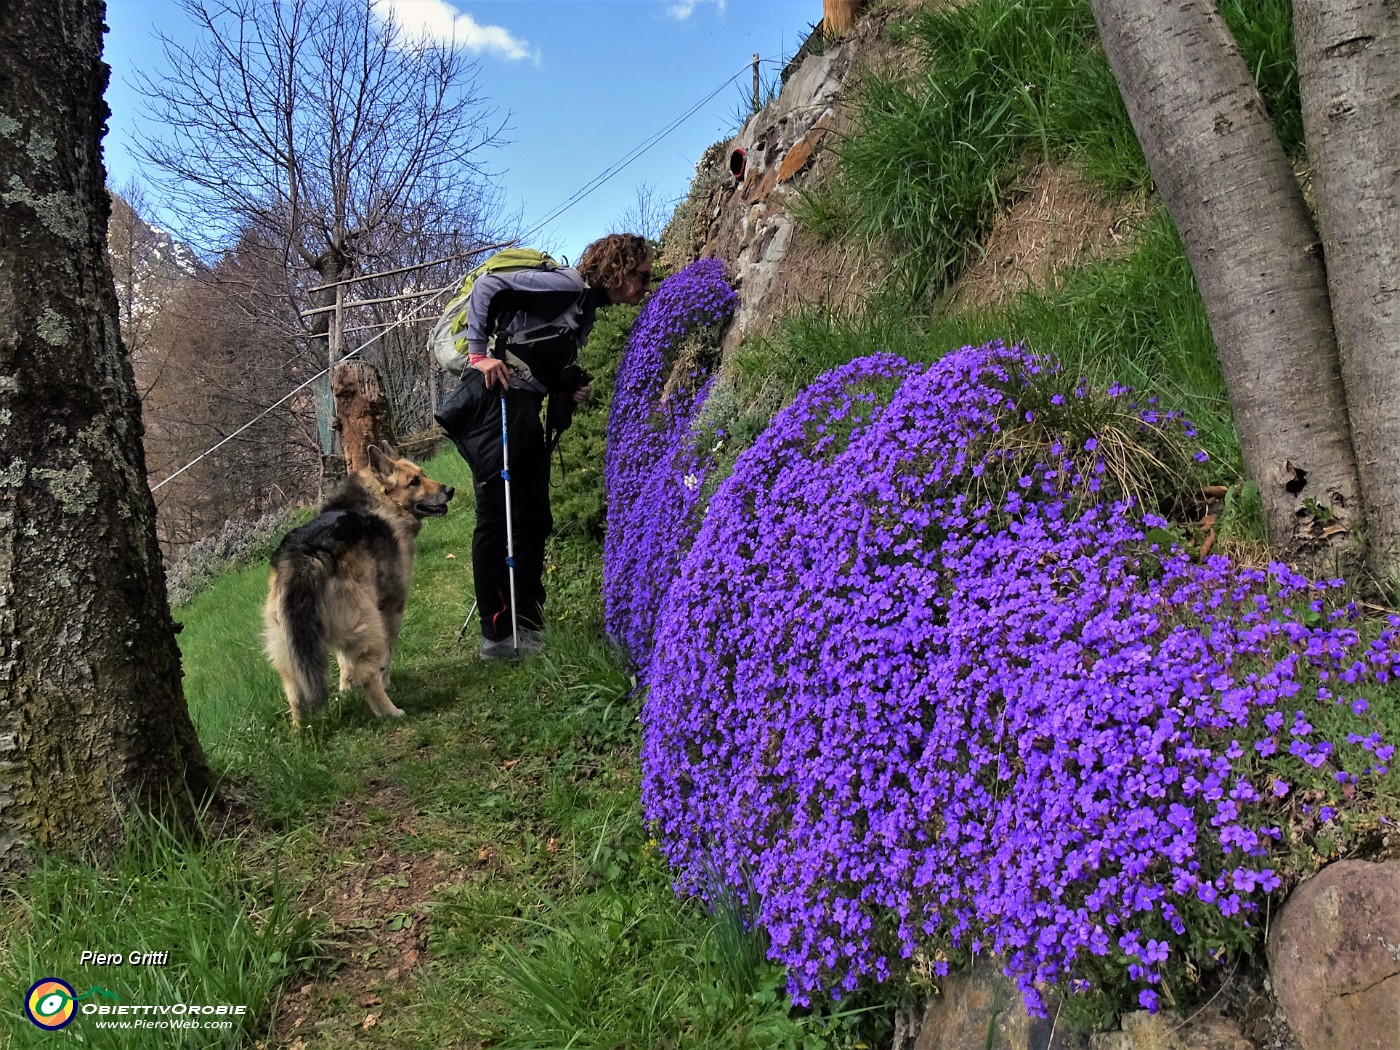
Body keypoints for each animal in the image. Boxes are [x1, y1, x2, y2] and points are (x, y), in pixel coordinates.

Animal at [263, 448, 453, 728]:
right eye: (414, 482)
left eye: (423, 474)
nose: (450, 490)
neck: (380, 499)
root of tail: (307, 553)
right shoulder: (391, 608)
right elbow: (386, 655)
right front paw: (386, 680)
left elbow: (344, 662)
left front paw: (345, 688)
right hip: (367, 624)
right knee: (368, 675)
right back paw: (389, 711)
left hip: (288, 645)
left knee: (294, 690)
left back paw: (301, 729)